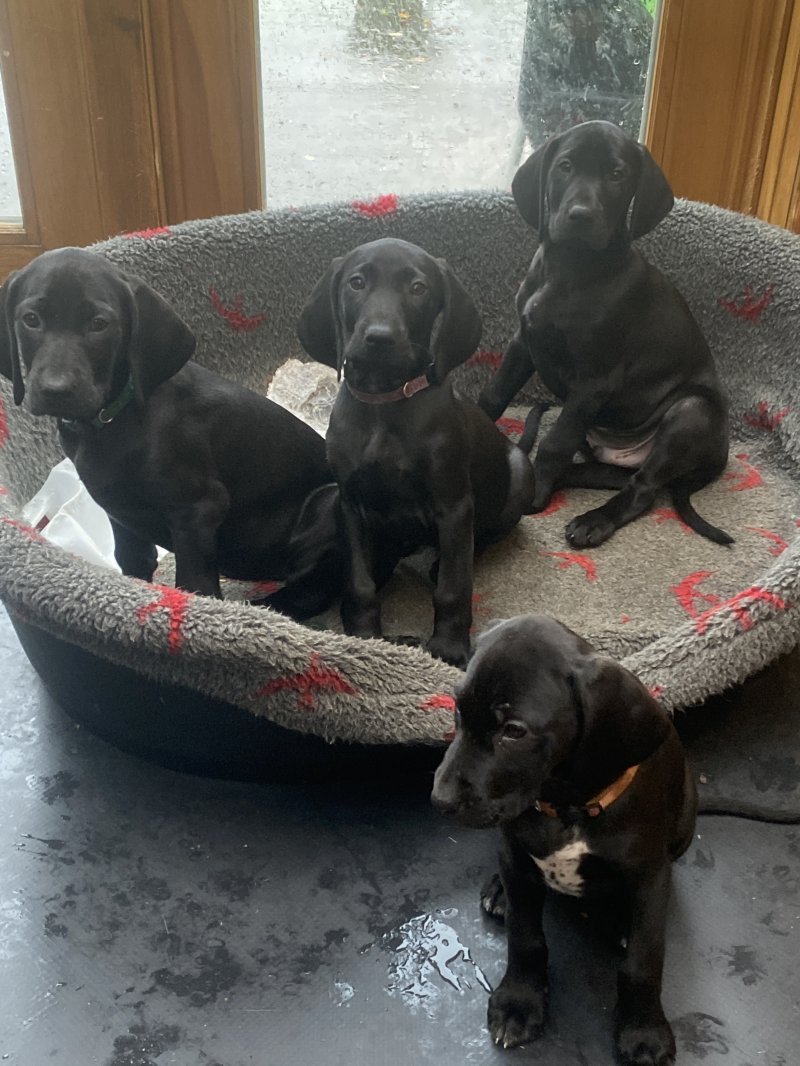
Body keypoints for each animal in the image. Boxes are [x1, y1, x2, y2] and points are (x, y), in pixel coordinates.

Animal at [0, 246, 341, 618]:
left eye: (99, 324)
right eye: (31, 319)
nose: (56, 390)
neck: (113, 420)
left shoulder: (197, 510)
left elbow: (195, 586)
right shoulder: (121, 513)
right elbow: (133, 565)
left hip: (326, 503)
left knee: (311, 591)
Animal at [300, 239, 539, 665]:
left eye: (418, 288)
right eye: (356, 282)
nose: (379, 338)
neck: (385, 402)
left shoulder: (454, 504)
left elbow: (453, 588)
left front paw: (448, 648)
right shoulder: (352, 504)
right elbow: (359, 582)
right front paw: (364, 636)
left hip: (518, 477)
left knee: (480, 538)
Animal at [433, 618, 695, 1066]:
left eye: (514, 731)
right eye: (456, 709)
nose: (440, 800)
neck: (567, 809)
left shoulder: (649, 874)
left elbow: (643, 961)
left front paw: (643, 1031)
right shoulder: (518, 854)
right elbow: (525, 937)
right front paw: (519, 1003)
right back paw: (499, 891)